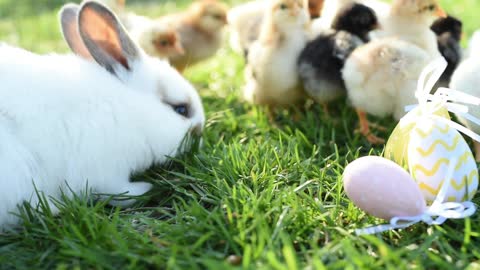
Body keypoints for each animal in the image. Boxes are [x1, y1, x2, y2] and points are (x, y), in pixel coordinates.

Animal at [0, 1, 204, 230]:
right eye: (181, 109)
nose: (200, 135)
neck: (128, 107)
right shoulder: (106, 172)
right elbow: (119, 192)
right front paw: (145, 187)